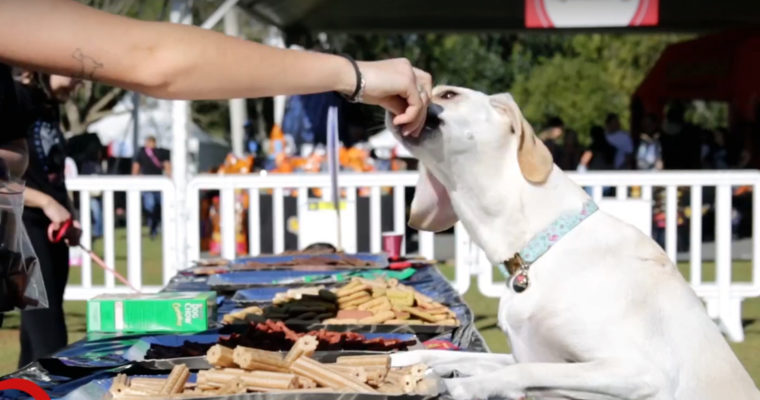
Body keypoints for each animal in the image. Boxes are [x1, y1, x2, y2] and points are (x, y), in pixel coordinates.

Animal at [388, 86, 756, 398]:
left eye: (448, 94)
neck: (538, 251)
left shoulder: (642, 372)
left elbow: (523, 372)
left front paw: (463, 387)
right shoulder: (524, 352)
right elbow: (459, 358)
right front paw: (402, 360)